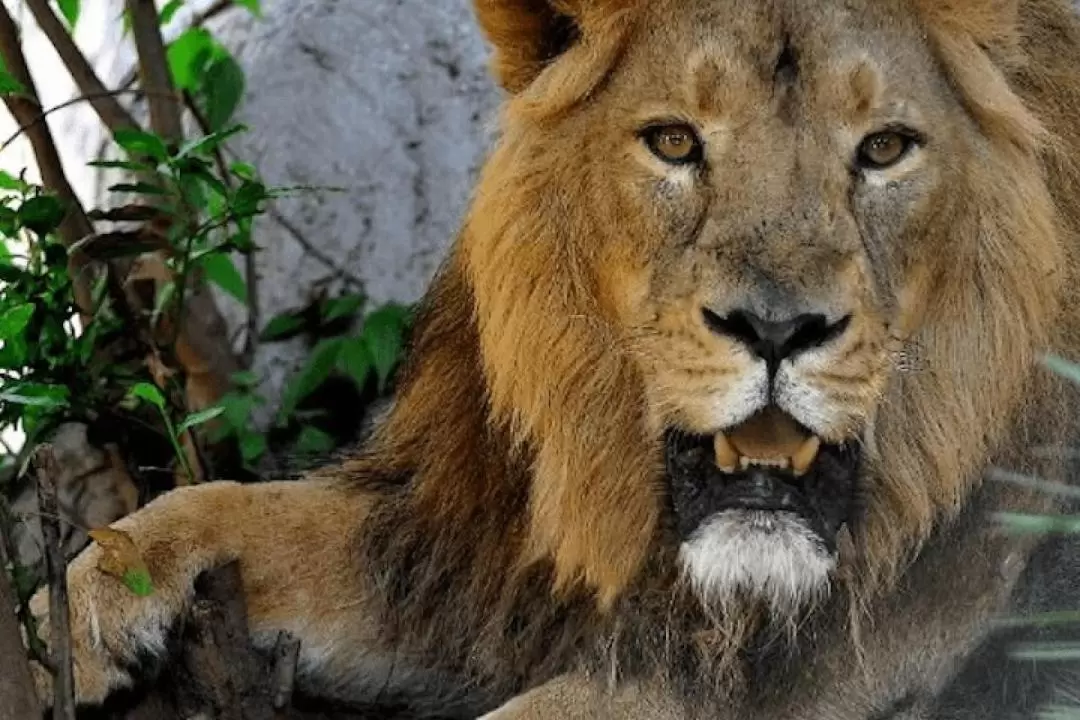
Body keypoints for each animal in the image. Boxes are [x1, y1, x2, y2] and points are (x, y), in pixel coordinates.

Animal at [25, 0, 1080, 716]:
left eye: (886, 149)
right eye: (673, 142)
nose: (777, 329)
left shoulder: (805, 676)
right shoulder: (456, 552)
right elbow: (219, 506)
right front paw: (56, 627)